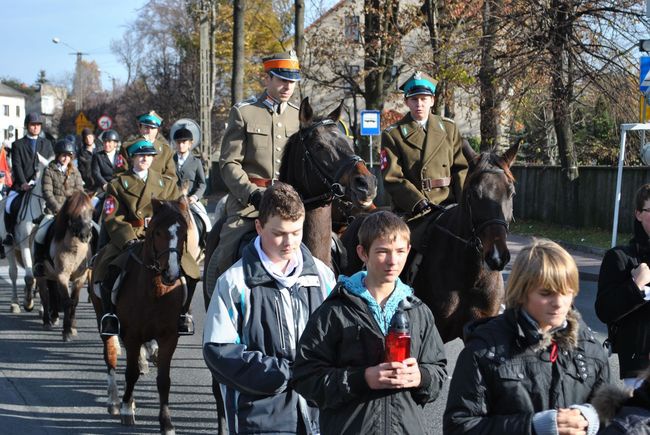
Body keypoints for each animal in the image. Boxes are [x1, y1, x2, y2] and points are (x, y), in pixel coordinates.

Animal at [0, 153, 52, 314]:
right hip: (8, 246)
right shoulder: (25, 245)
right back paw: (15, 303)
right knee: (14, 273)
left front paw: (43, 308)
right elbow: (29, 277)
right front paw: (28, 303)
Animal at [35, 192, 93, 342]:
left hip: (51, 275)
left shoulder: (80, 277)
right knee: (45, 296)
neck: (74, 248)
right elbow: (67, 301)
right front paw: (66, 331)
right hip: (41, 275)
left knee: (53, 293)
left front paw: (73, 327)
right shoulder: (62, 276)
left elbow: (75, 301)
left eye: (91, 211)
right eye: (73, 212)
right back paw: (47, 321)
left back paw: (54, 316)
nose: (85, 234)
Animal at [90, 198, 189, 435]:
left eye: (184, 232)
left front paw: (166, 423)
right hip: (103, 320)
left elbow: (163, 380)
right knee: (111, 356)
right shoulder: (132, 335)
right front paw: (127, 409)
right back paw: (114, 401)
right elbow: (131, 372)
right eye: (158, 232)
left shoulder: (169, 337)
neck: (155, 291)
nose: (171, 273)